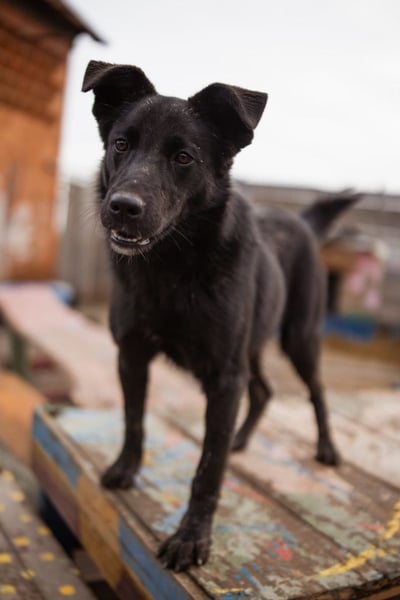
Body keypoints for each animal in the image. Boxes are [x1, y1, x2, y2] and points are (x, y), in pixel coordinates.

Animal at [82, 60, 358, 571]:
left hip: (299, 338)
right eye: (121, 144)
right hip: (253, 347)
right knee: (264, 390)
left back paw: (327, 448)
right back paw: (241, 440)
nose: (122, 208)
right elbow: (134, 420)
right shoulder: (132, 355)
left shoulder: (224, 378)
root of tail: (300, 221)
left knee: (316, 391)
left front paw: (192, 537)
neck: (172, 268)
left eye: (184, 157)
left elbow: (208, 467)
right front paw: (125, 470)